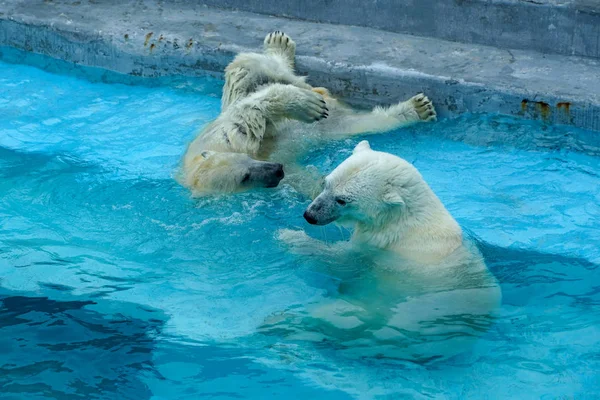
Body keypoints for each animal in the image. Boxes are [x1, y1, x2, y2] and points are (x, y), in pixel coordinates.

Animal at [182, 30, 436, 194]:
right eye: (244, 179)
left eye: (243, 160)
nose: (276, 170)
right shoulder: (285, 172)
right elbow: (304, 181)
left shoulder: (227, 136)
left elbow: (251, 113)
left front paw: (304, 106)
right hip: (338, 126)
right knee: (371, 122)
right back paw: (416, 110)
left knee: (245, 67)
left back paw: (281, 49)